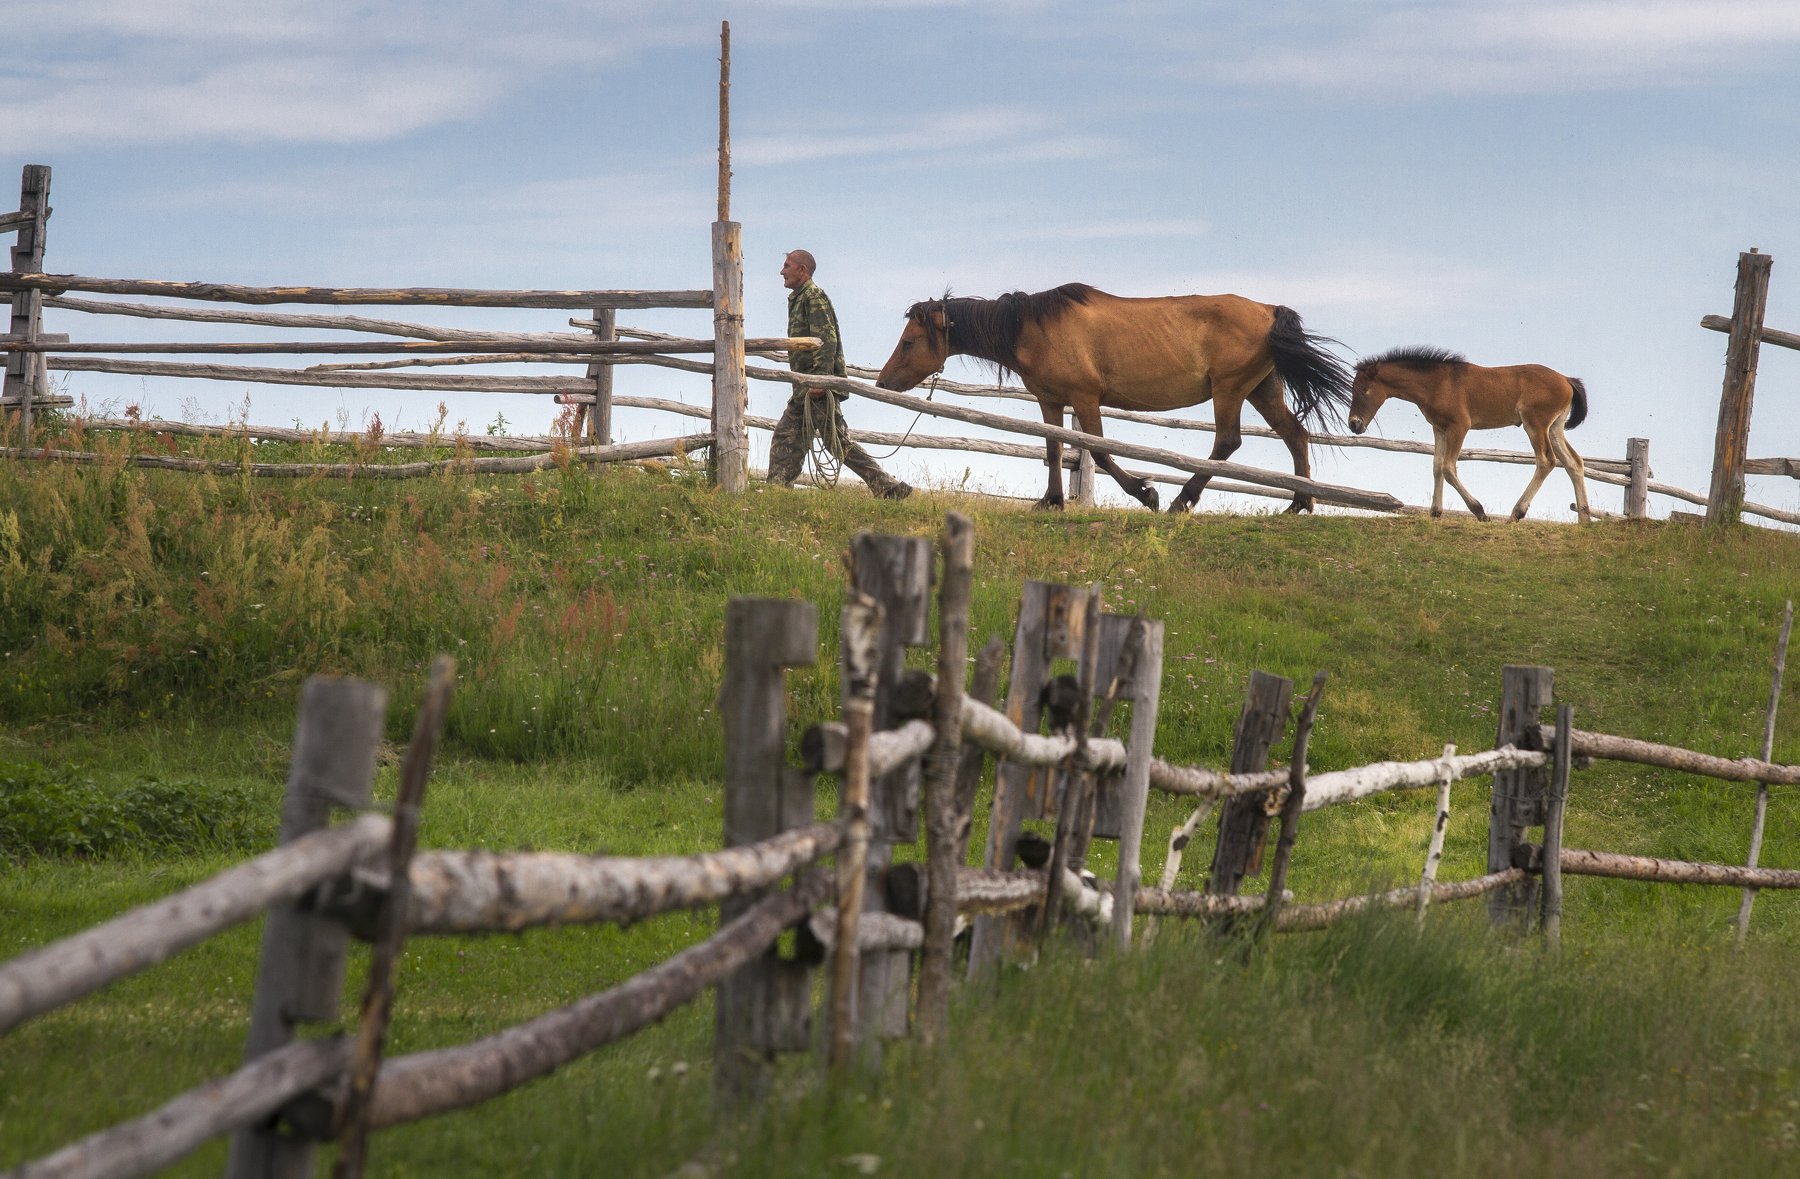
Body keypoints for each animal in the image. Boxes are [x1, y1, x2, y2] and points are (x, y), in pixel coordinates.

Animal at [871, 284, 1353, 511]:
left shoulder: (1085, 398)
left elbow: (1099, 452)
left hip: (1230, 390)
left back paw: (1180, 501)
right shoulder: (1051, 401)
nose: (883, 383)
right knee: (1295, 436)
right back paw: (1298, 503)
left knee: (1227, 443)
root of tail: (1270, 312)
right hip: (1260, 390)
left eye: (909, 342)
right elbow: (1054, 448)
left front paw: (1146, 493)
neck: (1032, 327)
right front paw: (1051, 501)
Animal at [1346, 345, 1598, 522]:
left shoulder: (1459, 426)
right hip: (1555, 428)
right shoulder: (1439, 428)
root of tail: (1567, 380)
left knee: (1546, 461)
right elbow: (1436, 466)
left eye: (1363, 390)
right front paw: (1435, 512)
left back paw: (1516, 513)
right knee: (1574, 463)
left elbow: (1448, 468)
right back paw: (1584, 519)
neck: (1438, 382)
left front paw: (1480, 512)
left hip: (1535, 424)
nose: (1354, 424)